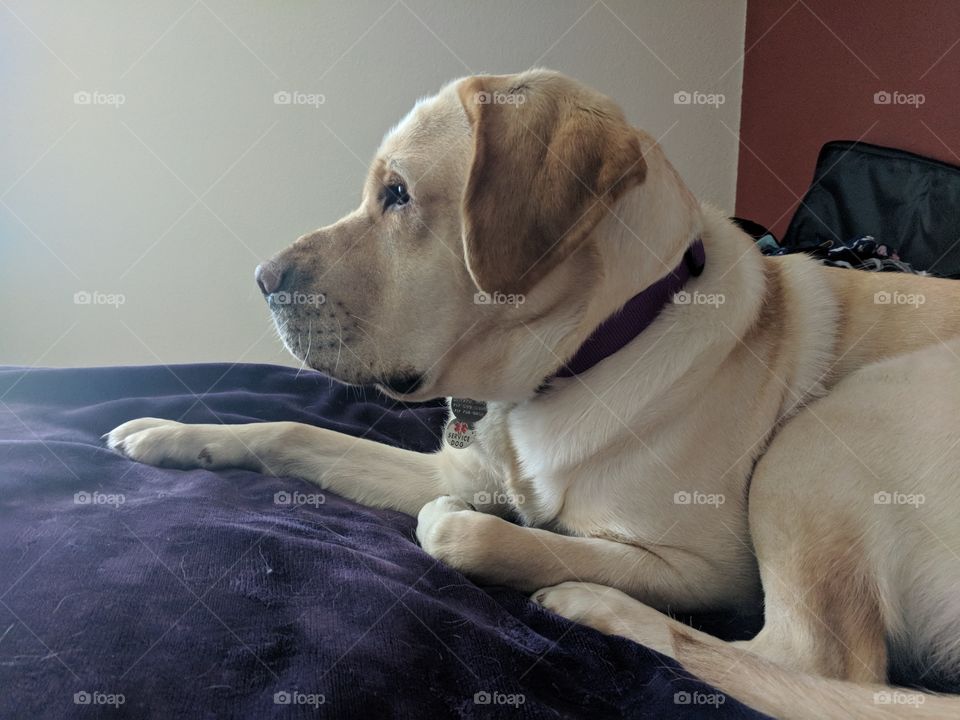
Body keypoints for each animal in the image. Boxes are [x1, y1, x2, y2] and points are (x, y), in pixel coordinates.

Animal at [109, 69, 960, 720]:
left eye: (398, 194)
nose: (259, 280)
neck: (575, 363)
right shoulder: (452, 464)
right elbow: (294, 432)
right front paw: (168, 433)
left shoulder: (703, 568)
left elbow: (474, 532)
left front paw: (493, 536)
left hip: (823, 434)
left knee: (813, 664)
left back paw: (589, 604)